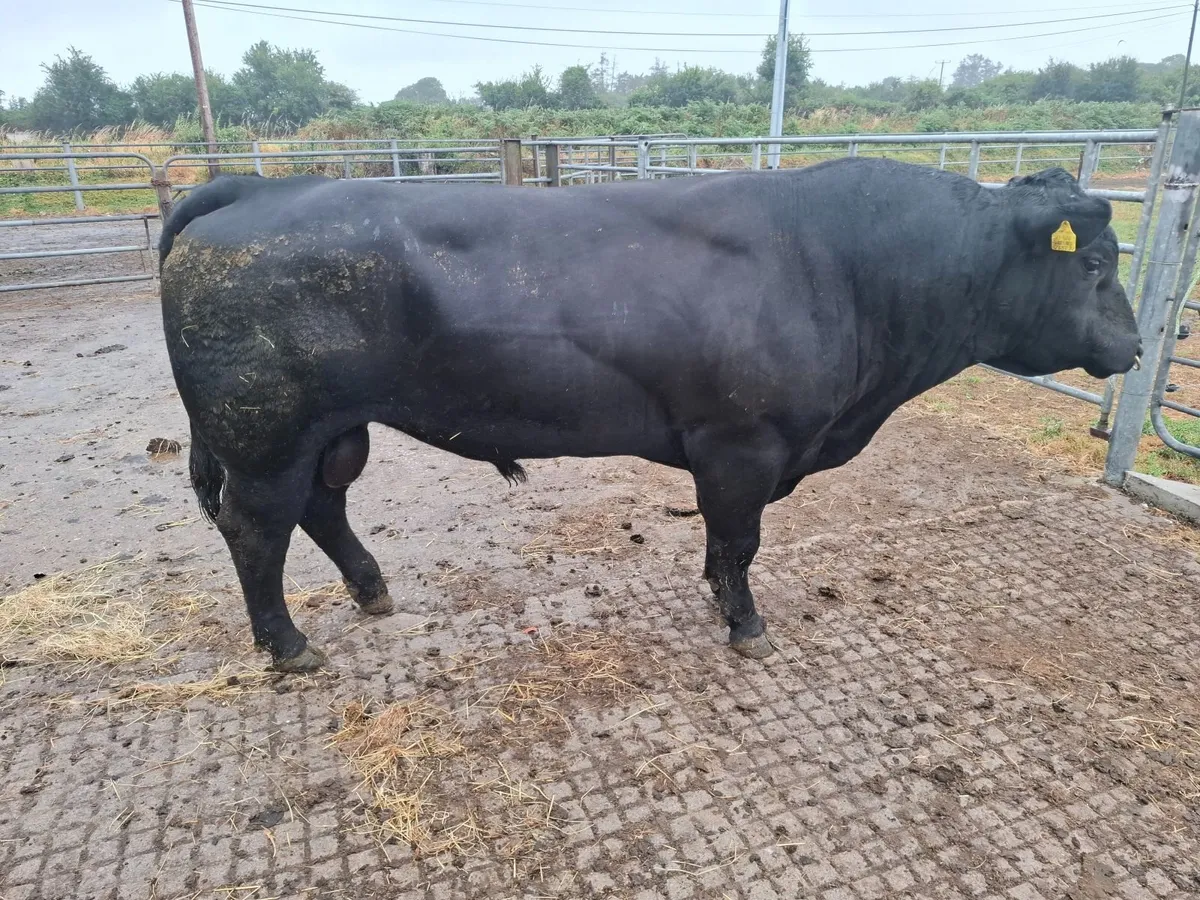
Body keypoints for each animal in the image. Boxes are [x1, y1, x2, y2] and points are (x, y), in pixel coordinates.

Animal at [158, 158, 1141, 672]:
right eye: (1093, 264)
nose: (1135, 347)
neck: (845, 266)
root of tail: (253, 187)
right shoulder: (742, 443)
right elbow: (740, 538)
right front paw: (745, 625)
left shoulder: (734, 451)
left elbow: (720, 539)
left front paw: (714, 596)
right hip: (265, 433)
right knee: (257, 530)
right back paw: (288, 646)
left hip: (330, 430)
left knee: (321, 508)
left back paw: (371, 590)